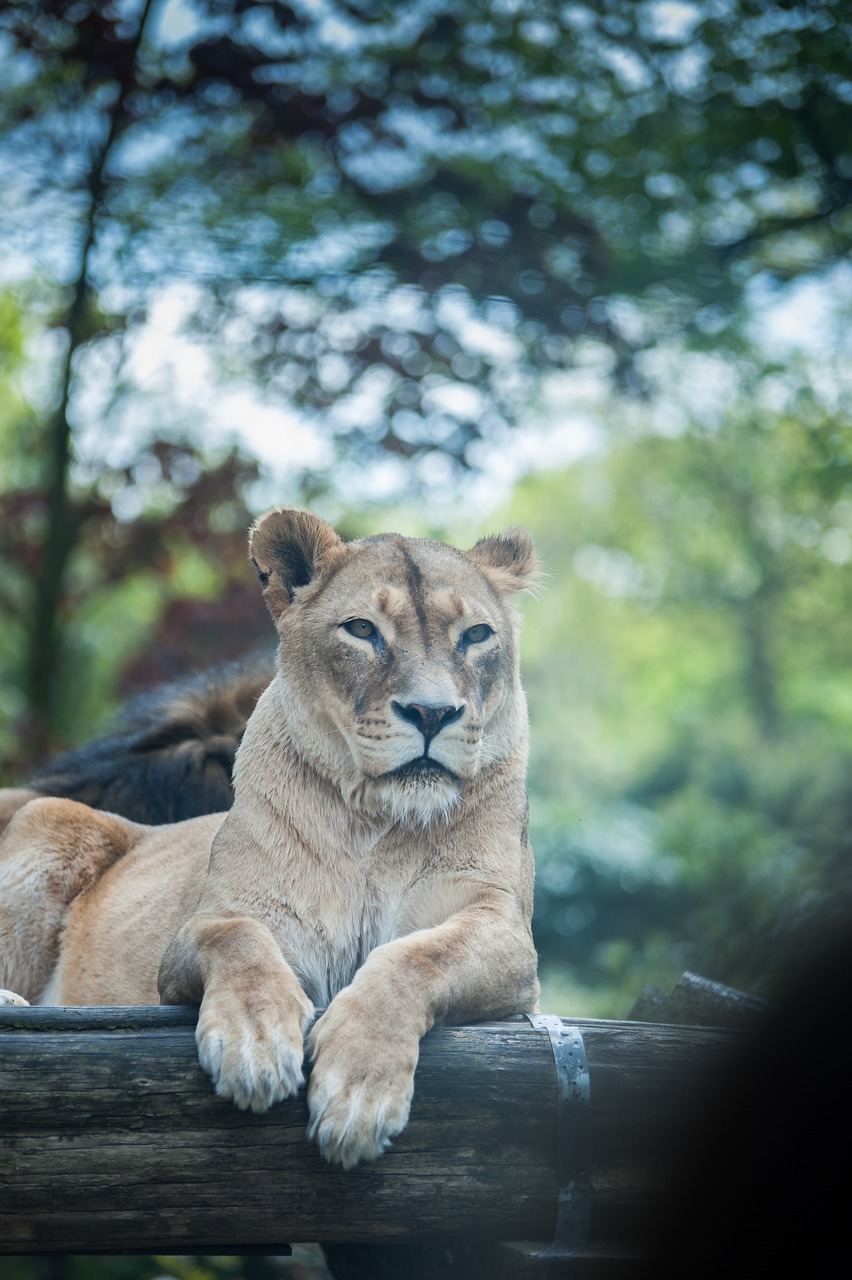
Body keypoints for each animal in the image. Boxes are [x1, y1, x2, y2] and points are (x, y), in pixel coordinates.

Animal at [0, 506, 537, 1172]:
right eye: (362, 629)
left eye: (475, 635)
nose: (432, 713)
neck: (378, 825)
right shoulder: (206, 928)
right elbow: (240, 941)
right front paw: (254, 1045)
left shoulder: (505, 933)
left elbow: (416, 957)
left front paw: (357, 1091)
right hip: (51, 819)